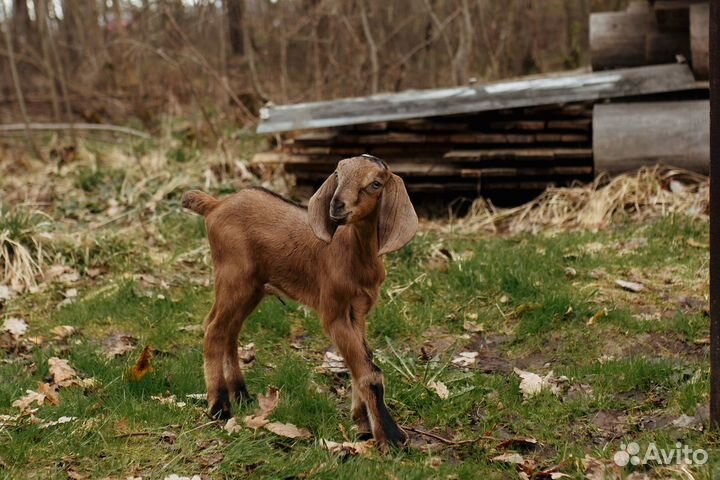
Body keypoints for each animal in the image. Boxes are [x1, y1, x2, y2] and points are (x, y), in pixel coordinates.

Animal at [182, 155, 418, 446]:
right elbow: (368, 371)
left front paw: (362, 422)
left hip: (251, 288)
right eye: (338, 175)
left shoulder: (358, 311)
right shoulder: (333, 311)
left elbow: (361, 362)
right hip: (234, 277)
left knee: (227, 329)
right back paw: (219, 406)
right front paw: (391, 438)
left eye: (376, 183)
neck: (354, 252)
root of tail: (215, 205)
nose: (336, 205)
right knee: (215, 329)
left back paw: (241, 394)